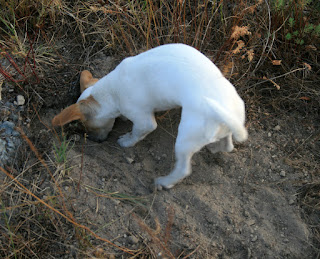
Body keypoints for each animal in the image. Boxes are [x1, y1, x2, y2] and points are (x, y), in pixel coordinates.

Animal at [52, 43, 248, 190]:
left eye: (90, 127)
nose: (96, 141)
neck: (111, 90)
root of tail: (225, 113)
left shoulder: (144, 121)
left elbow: (136, 133)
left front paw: (126, 141)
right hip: (224, 129)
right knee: (228, 145)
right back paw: (215, 147)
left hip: (184, 140)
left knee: (183, 170)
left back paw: (165, 182)